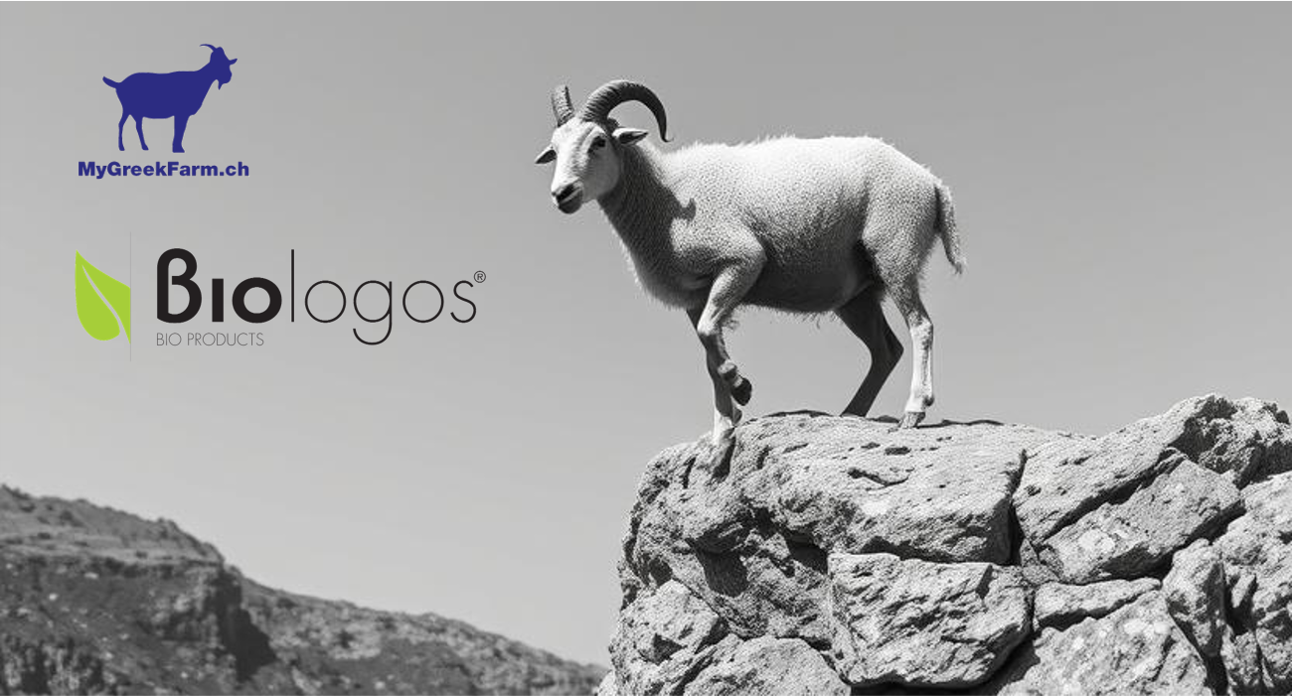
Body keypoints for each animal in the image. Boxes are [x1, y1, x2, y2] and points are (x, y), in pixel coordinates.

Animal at [103, 45, 238, 153]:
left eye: (227, 62)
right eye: (216, 62)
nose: (228, 76)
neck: (198, 80)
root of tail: (120, 84)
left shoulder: (182, 114)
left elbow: (181, 129)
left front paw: (178, 148)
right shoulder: (181, 113)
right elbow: (179, 129)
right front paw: (178, 149)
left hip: (136, 112)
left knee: (137, 126)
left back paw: (144, 147)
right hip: (127, 108)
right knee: (121, 124)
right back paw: (122, 147)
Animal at [535, 81, 965, 444]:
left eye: (599, 141)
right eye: (554, 149)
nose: (562, 193)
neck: (666, 193)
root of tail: (931, 181)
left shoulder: (742, 261)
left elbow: (710, 333)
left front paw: (741, 389)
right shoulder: (695, 295)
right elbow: (707, 351)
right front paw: (723, 431)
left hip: (896, 252)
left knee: (921, 326)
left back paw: (913, 411)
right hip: (856, 294)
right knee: (886, 350)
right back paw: (851, 412)